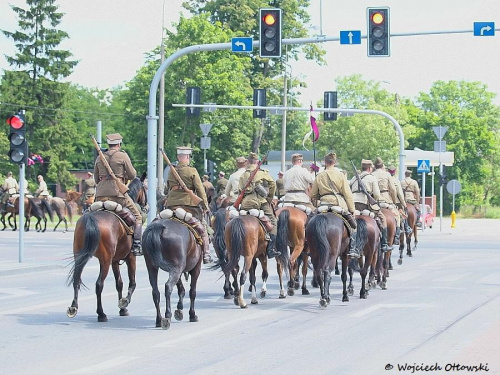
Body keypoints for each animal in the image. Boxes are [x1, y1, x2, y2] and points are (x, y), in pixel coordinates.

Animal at [65, 177, 146, 324]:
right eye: (145, 187)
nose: (146, 204)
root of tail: (90, 218)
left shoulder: (115, 261)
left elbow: (119, 283)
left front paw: (122, 309)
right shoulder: (131, 257)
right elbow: (132, 282)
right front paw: (124, 302)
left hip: (80, 256)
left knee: (76, 279)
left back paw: (74, 307)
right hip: (105, 261)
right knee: (99, 284)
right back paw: (101, 313)